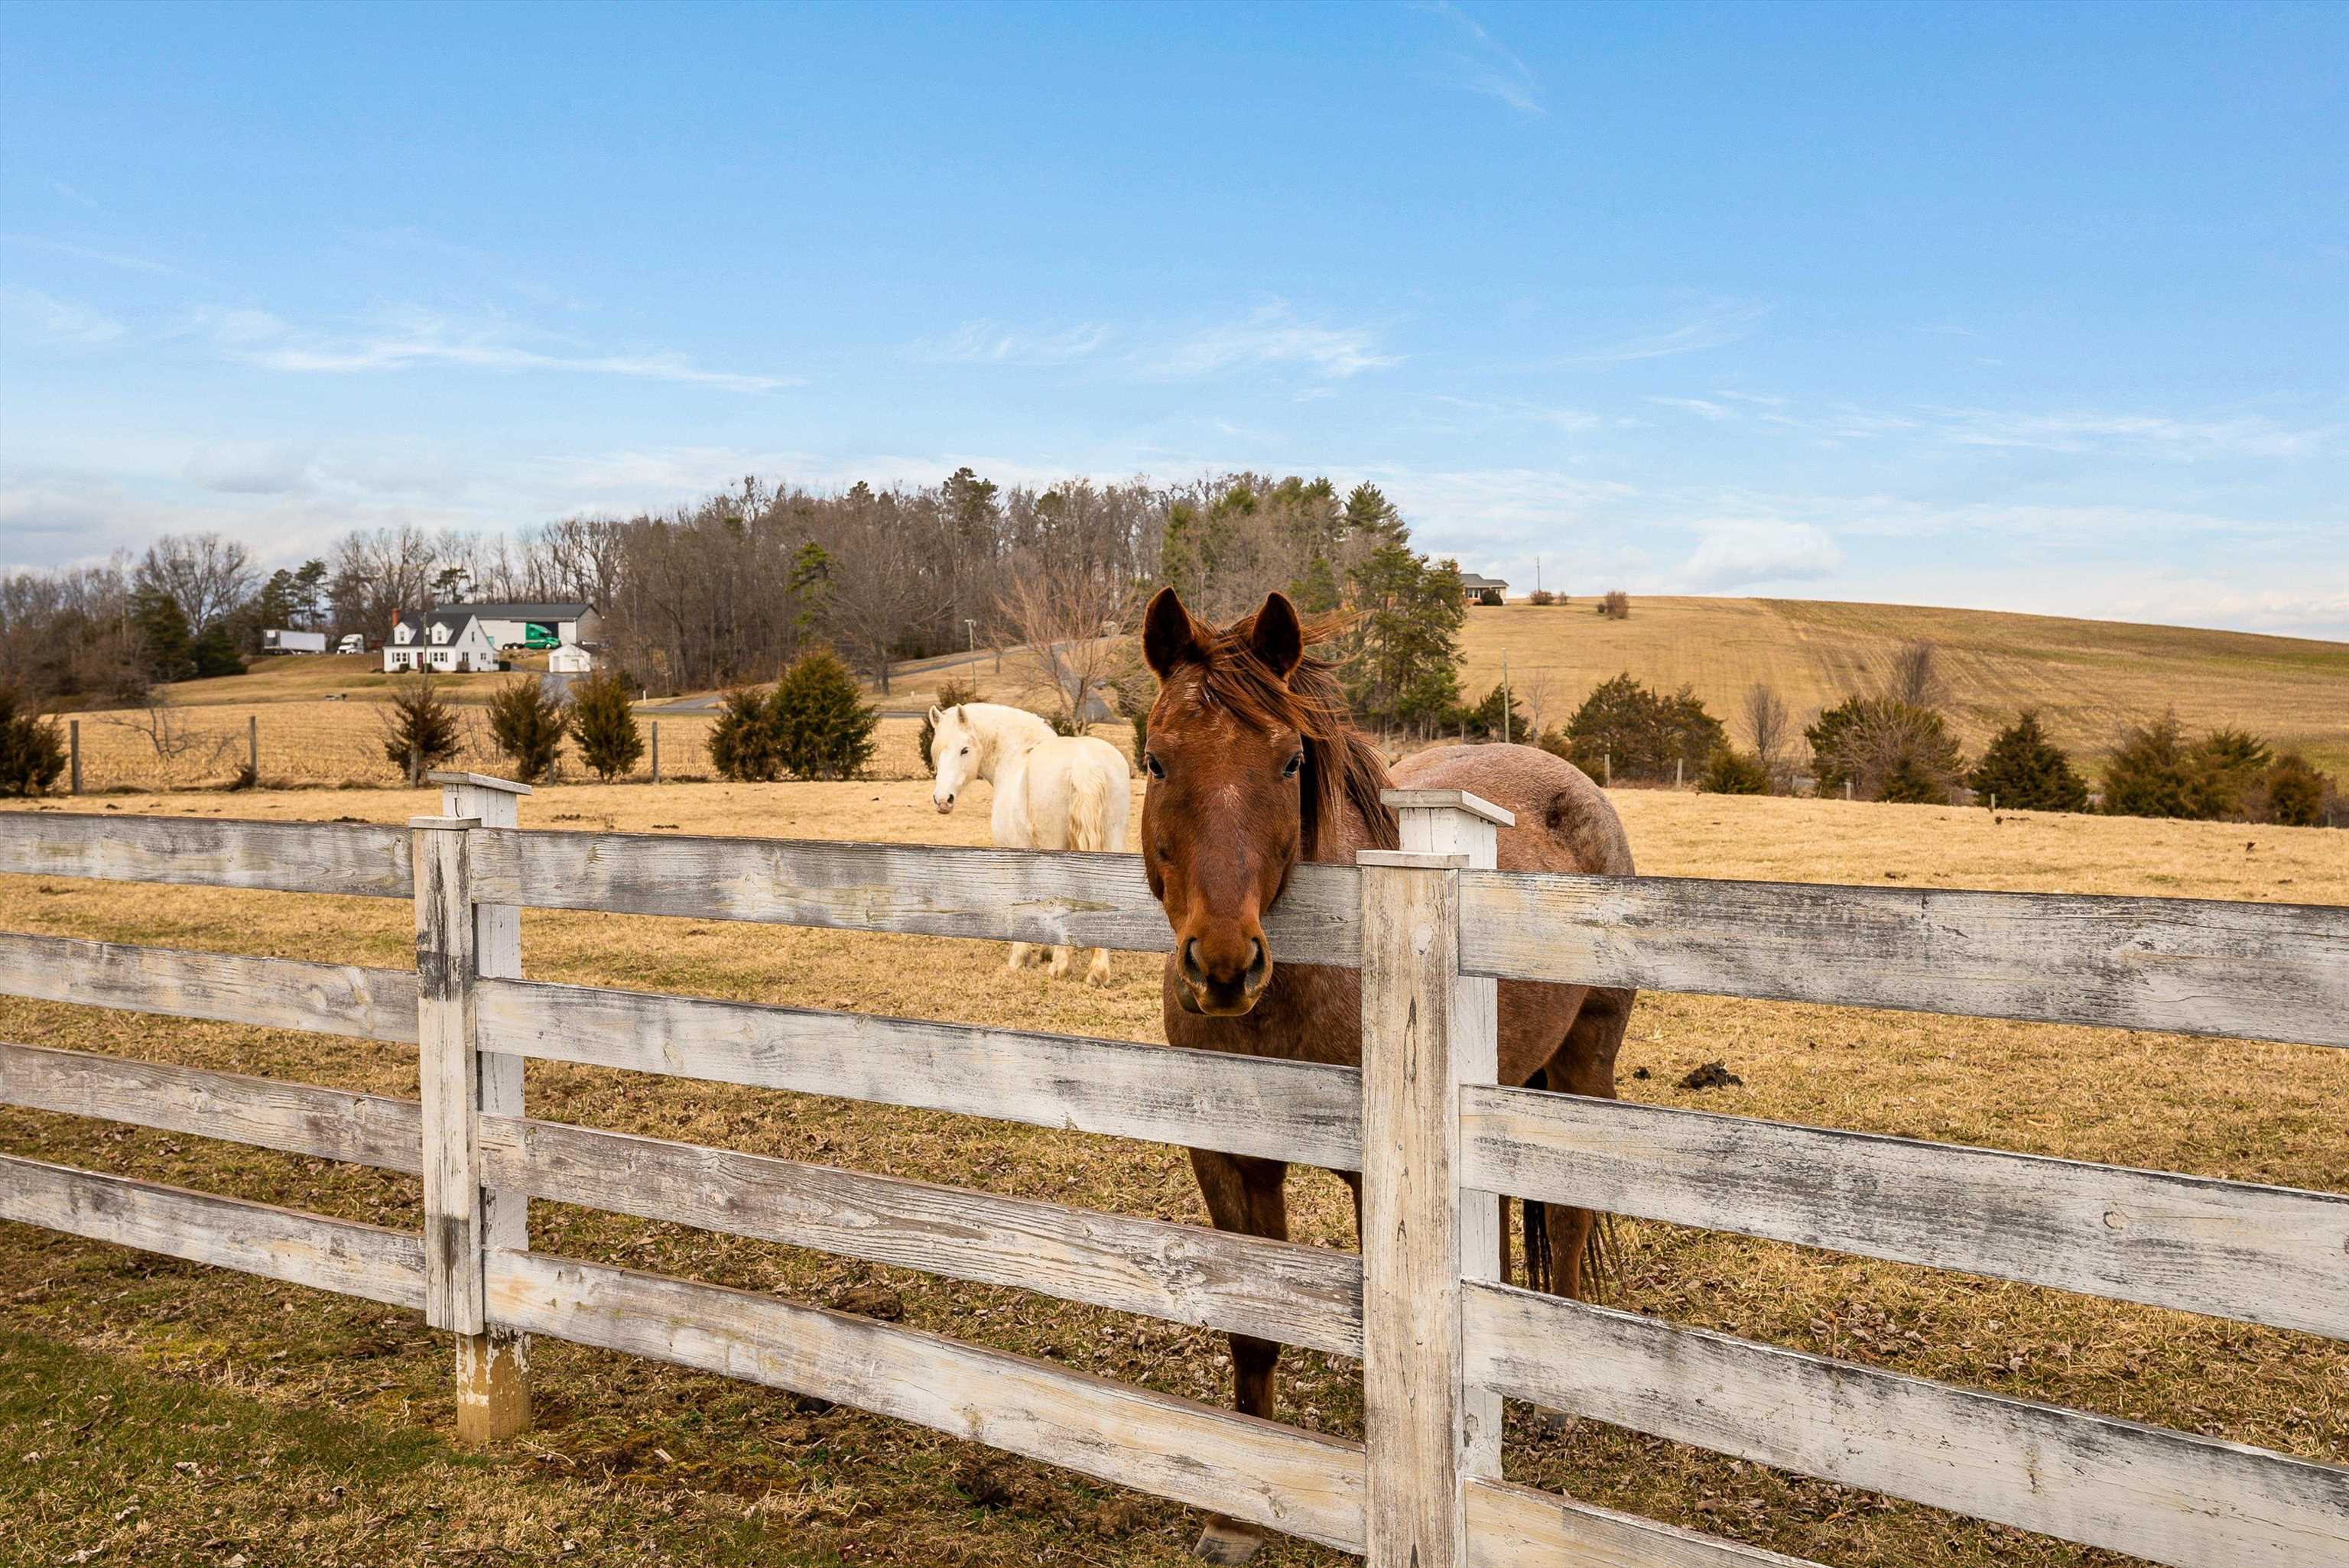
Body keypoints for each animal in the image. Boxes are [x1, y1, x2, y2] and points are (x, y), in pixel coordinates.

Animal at [921, 704, 1132, 985]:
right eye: (937, 751)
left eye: (964, 749)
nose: (943, 800)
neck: (1015, 757)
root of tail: (1084, 763)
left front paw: (1021, 957)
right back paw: (1098, 971)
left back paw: (1061, 966)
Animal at [1141, 584, 1635, 1558]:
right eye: (1156, 758)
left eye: (1291, 759)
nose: (1224, 964)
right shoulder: (1227, 1158)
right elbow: (1252, 1330)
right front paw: (1234, 1515)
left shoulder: (1383, 1173)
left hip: (1583, 1064)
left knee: (1566, 1220)